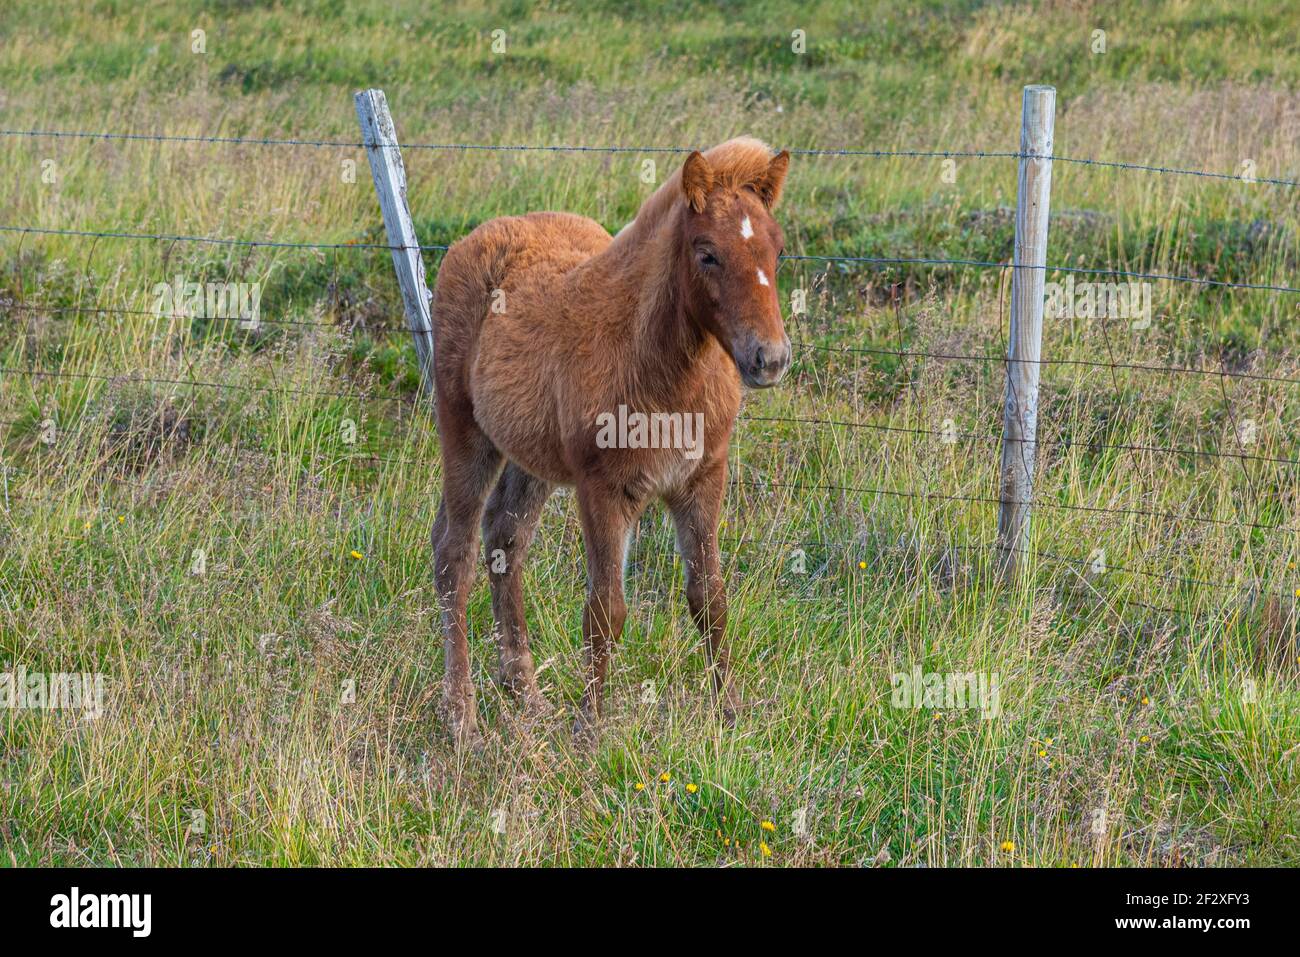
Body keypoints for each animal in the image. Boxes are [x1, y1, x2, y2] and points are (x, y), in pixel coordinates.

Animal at [429, 136, 791, 744]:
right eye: (707, 254)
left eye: (779, 251)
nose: (770, 358)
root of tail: (480, 234)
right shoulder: (602, 489)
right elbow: (606, 610)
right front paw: (590, 727)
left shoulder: (701, 479)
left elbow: (710, 599)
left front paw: (731, 714)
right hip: (465, 433)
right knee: (456, 554)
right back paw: (461, 716)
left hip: (533, 459)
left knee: (506, 539)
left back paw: (526, 695)